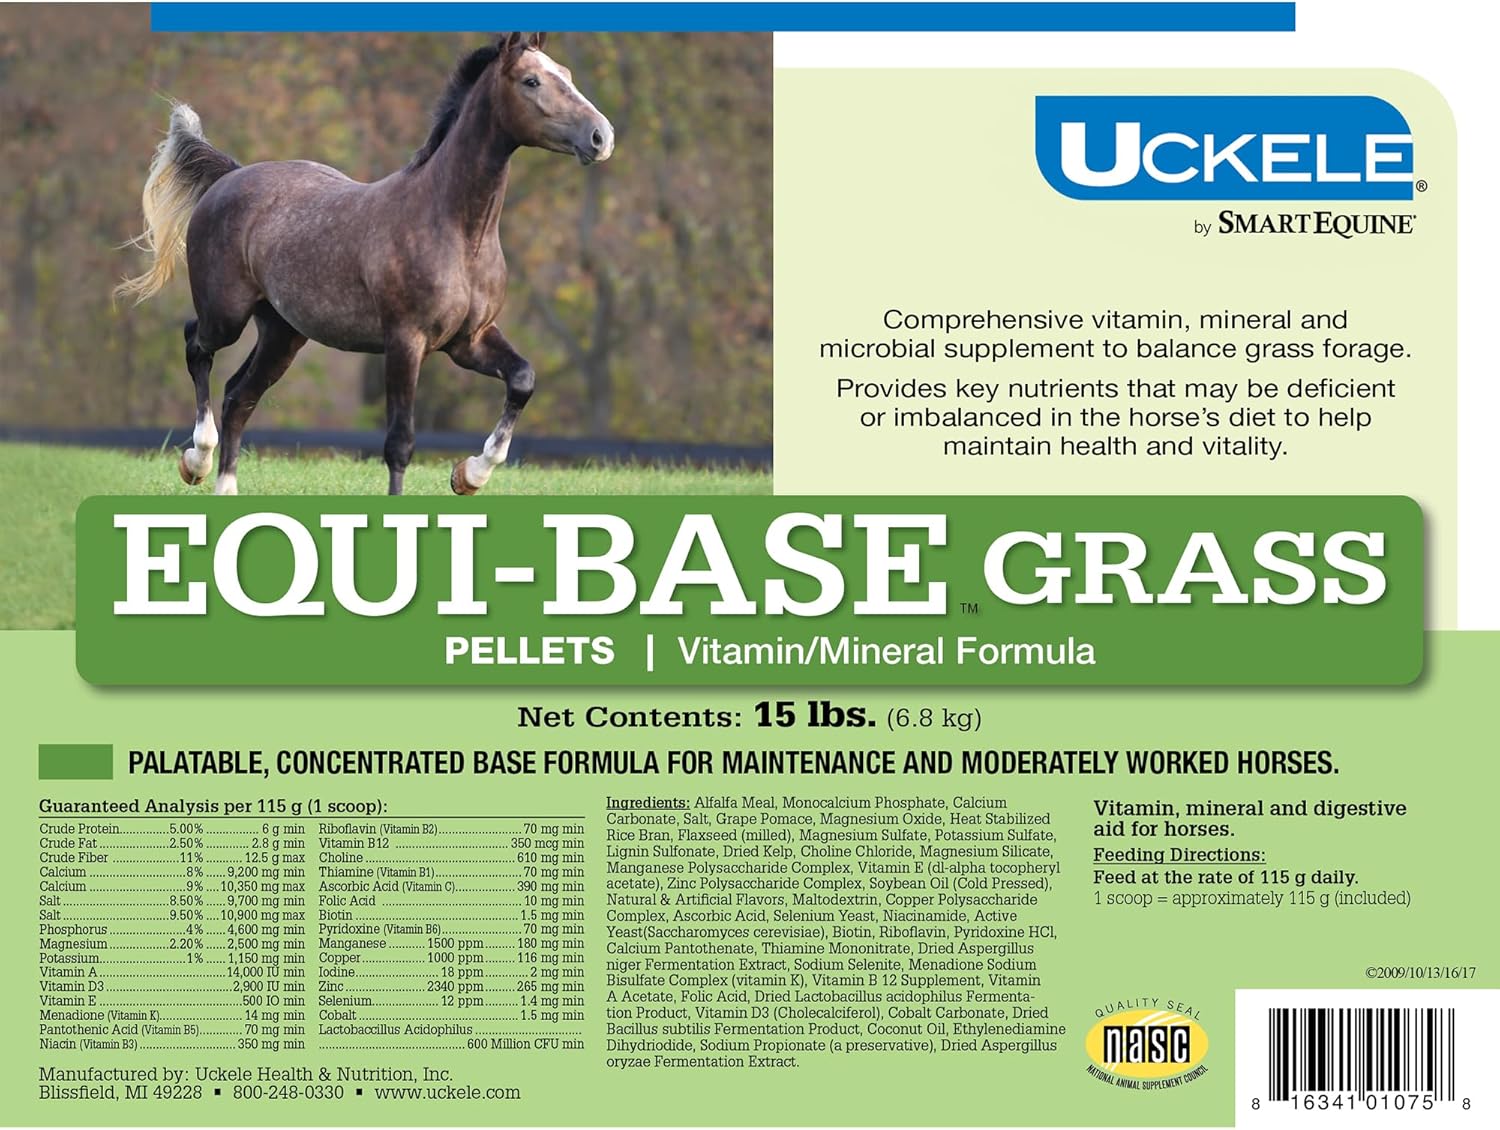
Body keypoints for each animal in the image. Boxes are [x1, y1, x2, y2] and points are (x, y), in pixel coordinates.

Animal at [116, 32, 614, 496]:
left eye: (566, 74)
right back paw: (196, 460)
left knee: (239, 396)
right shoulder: (405, 342)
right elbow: (399, 442)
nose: (601, 137)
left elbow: (523, 379)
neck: (457, 231)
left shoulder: (468, 341)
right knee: (196, 346)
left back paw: (225, 488)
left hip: (282, 333)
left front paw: (469, 475)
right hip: (226, 316)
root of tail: (231, 176)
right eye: (531, 81)